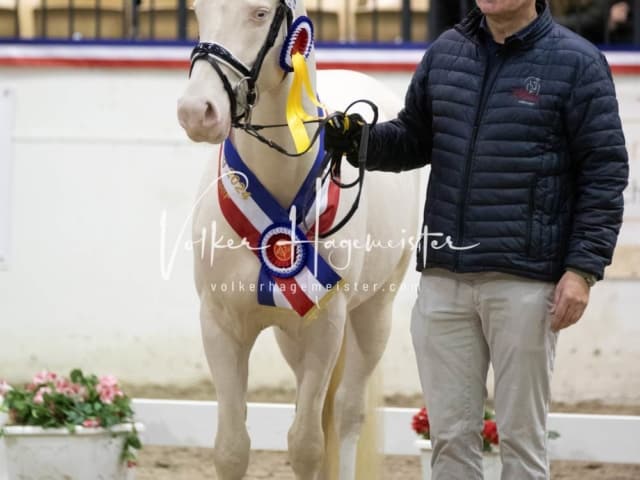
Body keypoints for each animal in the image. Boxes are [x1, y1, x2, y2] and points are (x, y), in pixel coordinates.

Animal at [178, 1, 422, 478]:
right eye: (198, 10)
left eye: (259, 14)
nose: (197, 111)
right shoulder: (219, 324)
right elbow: (232, 447)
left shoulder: (325, 326)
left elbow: (307, 445)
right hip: (290, 336)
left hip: (372, 315)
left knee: (345, 415)